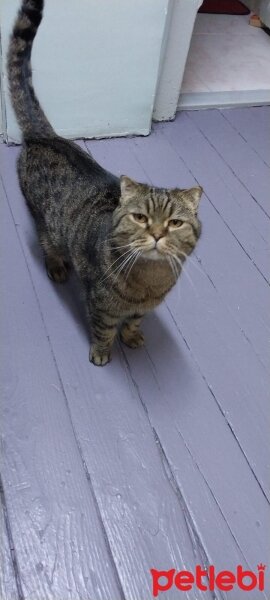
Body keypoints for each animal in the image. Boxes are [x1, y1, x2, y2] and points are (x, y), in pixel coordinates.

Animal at [7, 0, 202, 366]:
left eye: (175, 223)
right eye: (140, 217)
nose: (157, 234)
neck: (149, 282)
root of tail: (44, 135)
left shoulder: (143, 308)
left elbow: (134, 322)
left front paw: (134, 336)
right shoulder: (101, 305)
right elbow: (104, 330)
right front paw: (101, 353)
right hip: (43, 219)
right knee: (46, 242)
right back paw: (57, 266)